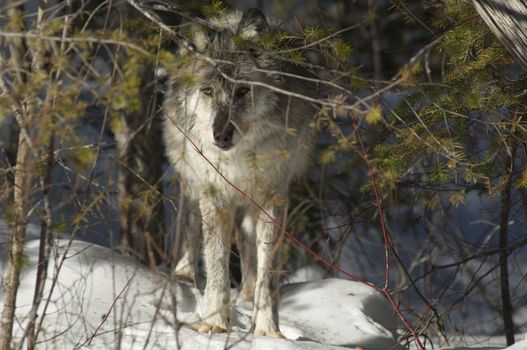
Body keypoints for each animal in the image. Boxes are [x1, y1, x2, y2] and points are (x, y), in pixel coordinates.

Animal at [165, 7, 320, 336]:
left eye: (242, 91)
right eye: (208, 91)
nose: (221, 135)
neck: (238, 158)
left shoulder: (273, 197)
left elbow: (267, 270)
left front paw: (267, 329)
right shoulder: (214, 194)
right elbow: (216, 262)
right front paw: (215, 322)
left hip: (250, 203)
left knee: (249, 251)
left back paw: (247, 297)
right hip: (192, 184)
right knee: (190, 228)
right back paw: (184, 275)